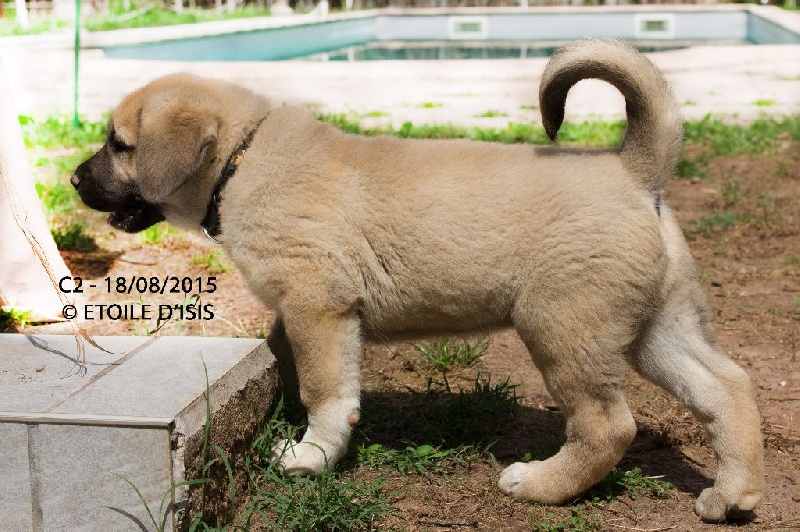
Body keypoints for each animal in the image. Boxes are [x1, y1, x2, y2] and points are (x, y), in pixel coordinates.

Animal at [72, 39, 764, 521]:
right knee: (726, 387)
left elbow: (327, 392)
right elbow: (286, 364)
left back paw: (540, 485)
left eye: (119, 144)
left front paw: (310, 457)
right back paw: (731, 496)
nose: (75, 181)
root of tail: (633, 171)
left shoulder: (318, 307)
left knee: (607, 425)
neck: (241, 160)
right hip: (659, 328)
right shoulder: (303, 315)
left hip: (563, 328)